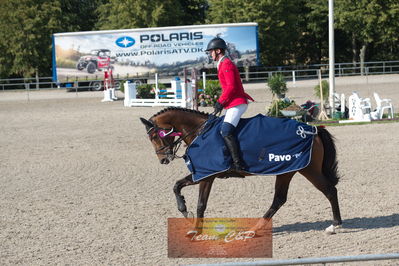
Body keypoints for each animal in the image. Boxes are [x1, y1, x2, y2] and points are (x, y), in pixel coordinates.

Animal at [141, 106, 344, 233]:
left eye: (154, 137)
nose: (163, 160)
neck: (200, 132)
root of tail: (313, 130)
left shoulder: (207, 175)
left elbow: (200, 204)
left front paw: (195, 230)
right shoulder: (203, 174)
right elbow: (177, 186)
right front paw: (185, 211)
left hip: (308, 170)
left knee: (329, 191)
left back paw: (335, 225)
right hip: (287, 171)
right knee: (279, 199)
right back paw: (254, 229)